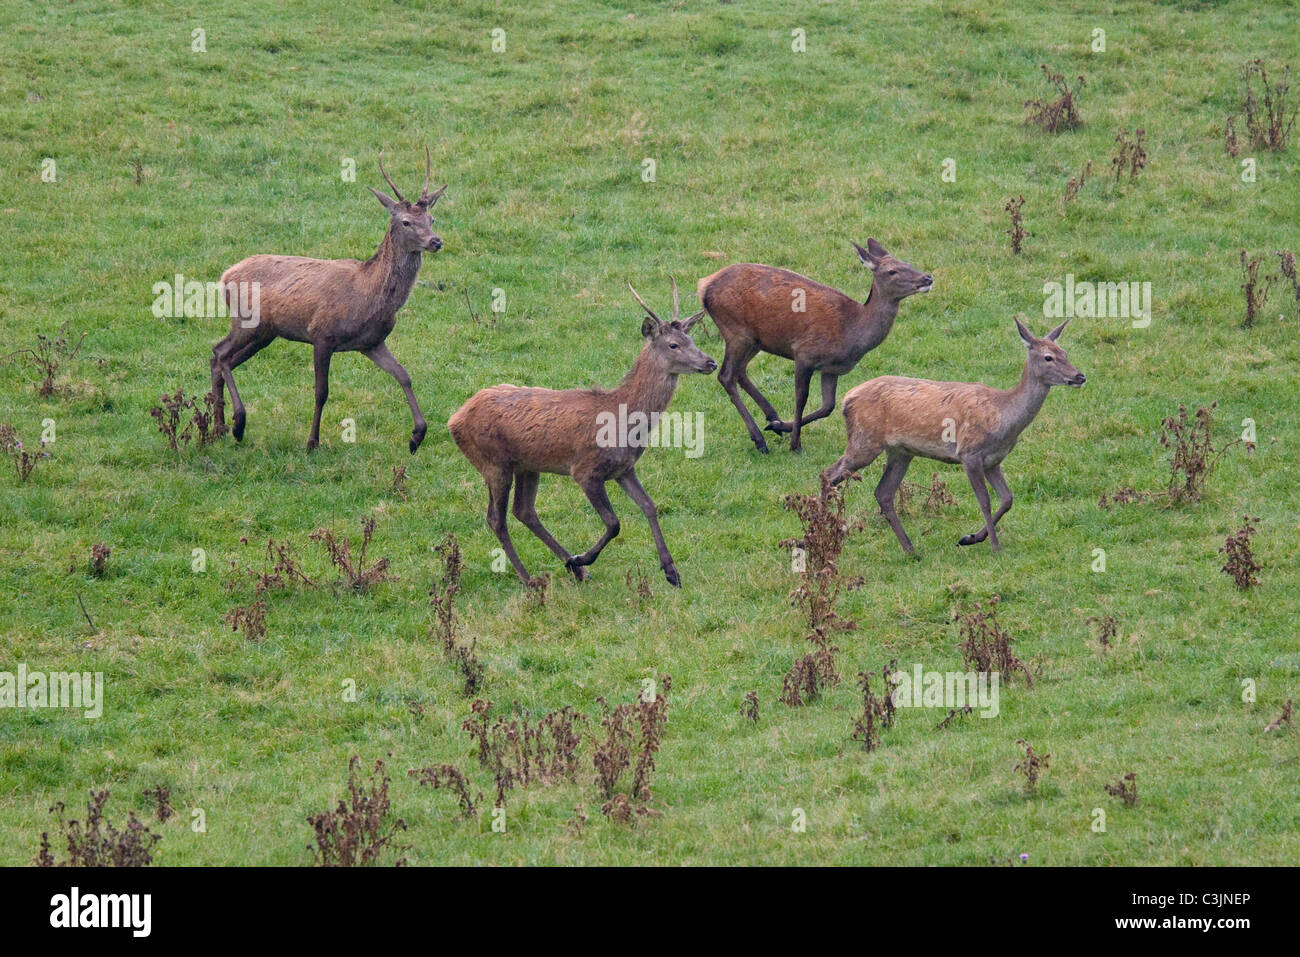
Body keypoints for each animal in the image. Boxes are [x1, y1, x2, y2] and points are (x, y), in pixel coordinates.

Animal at [211, 148, 447, 452]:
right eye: (406, 222)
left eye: (432, 220)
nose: (435, 241)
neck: (369, 295)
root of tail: (225, 275)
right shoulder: (322, 335)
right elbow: (321, 392)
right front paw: (312, 441)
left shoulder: (371, 342)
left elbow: (403, 375)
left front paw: (417, 435)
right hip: (248, 323)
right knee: (221, 354)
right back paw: (238, 423)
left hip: (265, 332)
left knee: (218, 356)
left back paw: (219, 427)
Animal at [449, 280, 717, 587]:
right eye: (674, 344)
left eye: (692, 340)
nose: (710, 362)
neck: (622, 418)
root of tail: (454, 419)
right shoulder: (585, 470)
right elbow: (614, 523)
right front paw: (582, 557)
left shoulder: (624, 469)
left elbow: (649, 506)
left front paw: (671, 571)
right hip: (493, 463)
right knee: (496, 518)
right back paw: (531, 578)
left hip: (527, 465)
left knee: (524, 511)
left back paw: (572, 569)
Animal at [696, 237, 930, 449]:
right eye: (892, 271)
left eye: (908, 263)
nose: (927, 278)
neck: (852, 333)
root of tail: (704, 286)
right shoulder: (805, 354)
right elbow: (801, 397)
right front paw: (795, 444)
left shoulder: (831, 368)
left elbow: (828, 406)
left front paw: (781, 426)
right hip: (736, 331)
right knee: (726, 376)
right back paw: (759, 440)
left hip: (755, 340)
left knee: (740, 372)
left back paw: (772, 417)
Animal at [821, 315, 1086, 553]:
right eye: (1048, 357)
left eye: (1065, 353)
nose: (1079, 376)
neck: (1003, 417)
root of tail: (847, 398)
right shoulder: (970, 453)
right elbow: (985, 500)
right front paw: (995, 546)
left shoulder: (994, 460)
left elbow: (1007, 499)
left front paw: (970, 538)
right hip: (864, 441)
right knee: (828, 473)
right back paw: (822, 526)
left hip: (900, 452)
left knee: (883, 492)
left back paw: (910, 548)